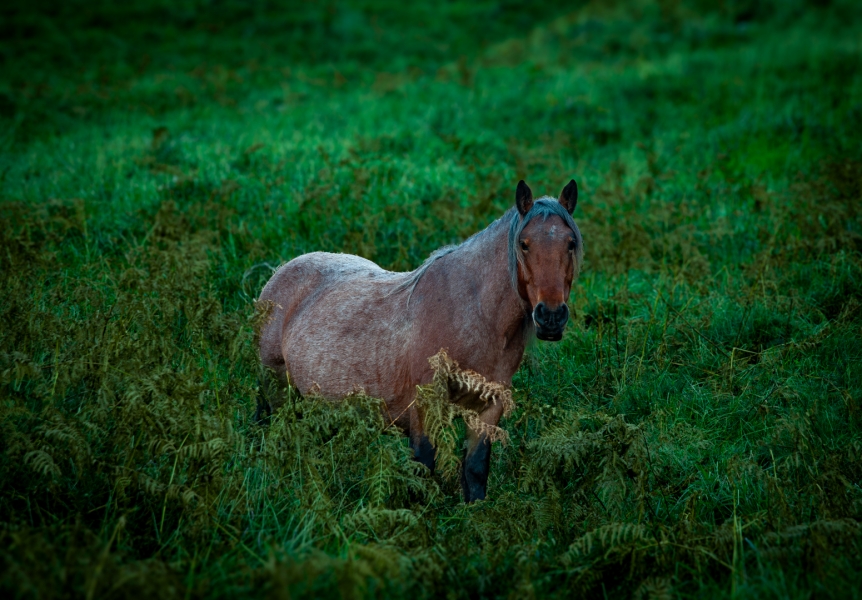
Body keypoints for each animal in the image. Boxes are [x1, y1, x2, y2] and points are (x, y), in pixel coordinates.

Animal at [255, 179, 580, 502]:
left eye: (570, 243)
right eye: (524, 244)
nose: (551, 316)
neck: (473, 316)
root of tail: (279, 273)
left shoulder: (489, 408)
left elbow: (475, 470)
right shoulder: (425, 405)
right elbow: (423, 467)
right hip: (275, 389)